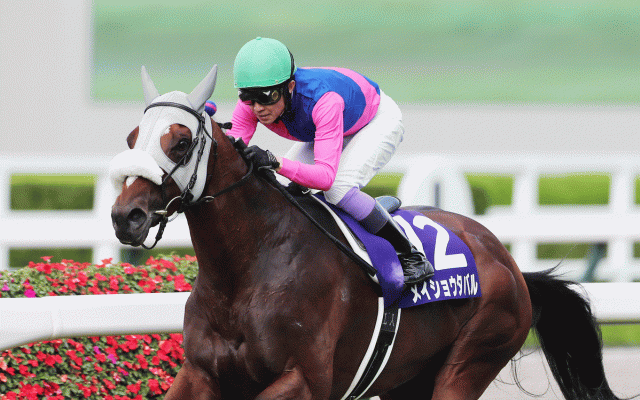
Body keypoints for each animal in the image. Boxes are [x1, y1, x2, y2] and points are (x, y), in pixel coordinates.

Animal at [110, 65, 621, 400]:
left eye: (179, 142)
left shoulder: (305, 379)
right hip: (409, 380)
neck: (247, 269)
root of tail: (508, 261)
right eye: (132, 138)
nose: (125, 216)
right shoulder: (199, 373)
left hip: (471, 359)